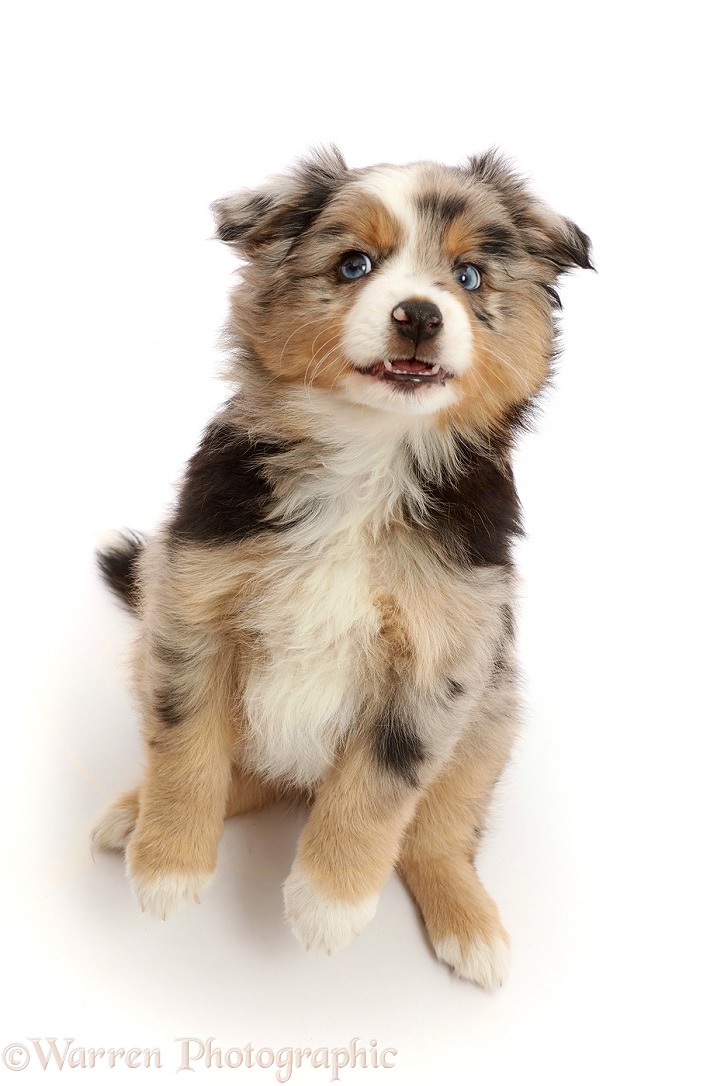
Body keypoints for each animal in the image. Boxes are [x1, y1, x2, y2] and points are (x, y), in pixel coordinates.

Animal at [90, 148, 590, 990]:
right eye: (354, 264)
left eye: (470, 277)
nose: (419, 315)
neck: (366, 457)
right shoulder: (189, 604)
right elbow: (187, 747)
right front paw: (167, 865)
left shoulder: (441, 662)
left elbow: (378, 789)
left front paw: (329, 902)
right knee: (239, 770)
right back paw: (135, 815)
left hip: (491, 719)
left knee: (438, 834)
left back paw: (470, 924)